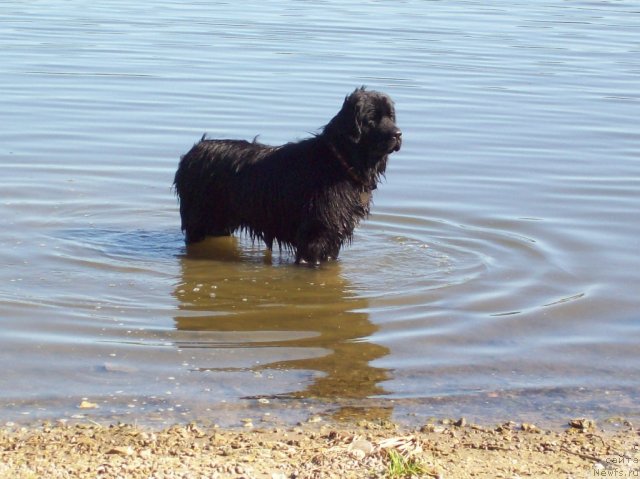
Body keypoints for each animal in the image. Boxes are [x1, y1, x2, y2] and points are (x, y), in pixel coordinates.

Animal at [172, 88, 402, 264]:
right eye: (371, 119)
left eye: (391, 116)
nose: (398, 134)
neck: (339, 161)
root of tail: (191, 153)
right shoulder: (316, 234)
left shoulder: (334, 233)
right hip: (200, 220)